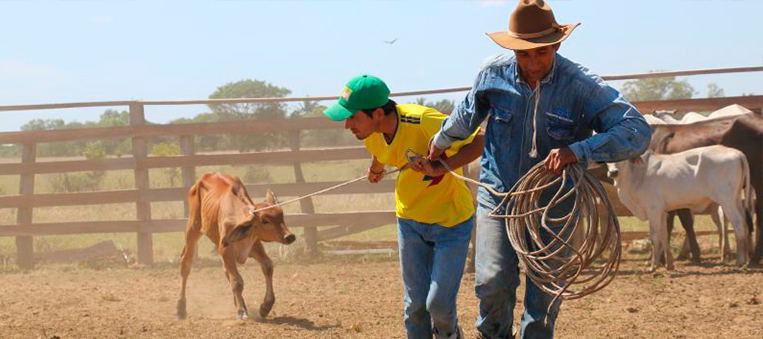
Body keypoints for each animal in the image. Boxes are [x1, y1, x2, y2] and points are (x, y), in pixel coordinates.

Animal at [178, 173, 296, 322]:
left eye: (282, 215)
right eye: (264, 220)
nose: (290, 236)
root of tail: (204, 177)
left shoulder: (254, 245)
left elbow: (267, 266)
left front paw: (265, 306)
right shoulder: (226, 250)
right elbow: (237, 281)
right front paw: (241, 311)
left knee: (226, 271)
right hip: (193, 228)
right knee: (186, 264)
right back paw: (181, 308)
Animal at [604, 146, 756, 270]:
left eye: (622, 156)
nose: (613, 172)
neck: (637, 175)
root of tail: (736, 153)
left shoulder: (653, 210)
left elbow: (655, 236)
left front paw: (653, 266)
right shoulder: (662, 212)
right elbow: (664, 235)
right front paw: (669, 264)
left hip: (727, 201)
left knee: (738, 224)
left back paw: (740, 261)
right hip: (736, 199)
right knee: (744, 222)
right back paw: (745, 259)